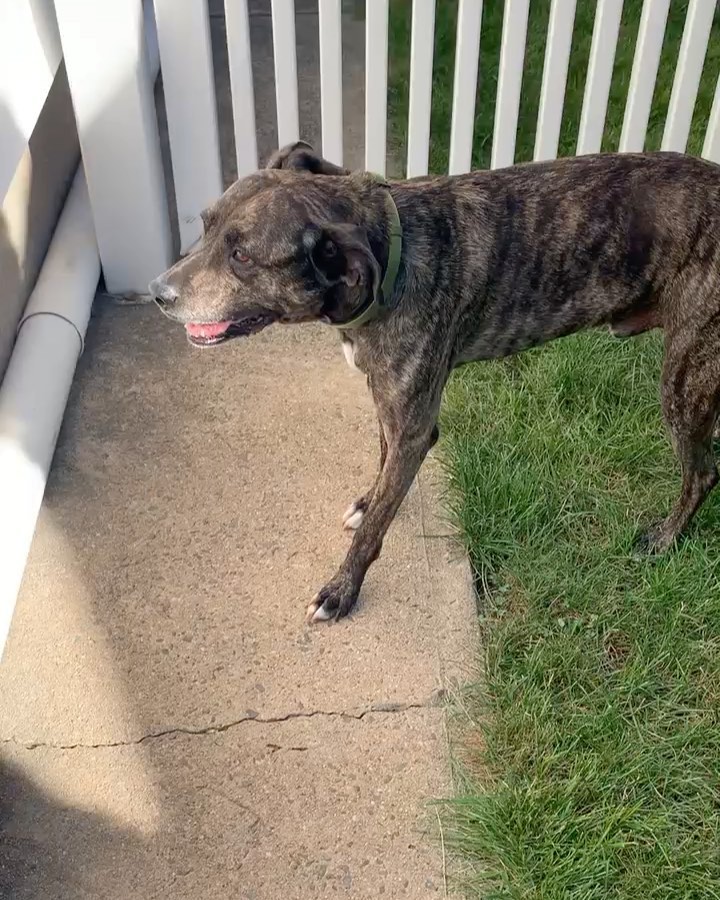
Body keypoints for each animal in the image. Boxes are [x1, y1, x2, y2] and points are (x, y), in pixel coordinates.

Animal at [149, 146, 720, 624]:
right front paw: (369, 501)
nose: (158, 292)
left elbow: (375, 527)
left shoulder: (415, 429)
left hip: (684, 382)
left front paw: (341, 590)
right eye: (205, 226)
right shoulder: (389, 407)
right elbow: (381, 471)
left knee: (702, 473)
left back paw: (664, 540)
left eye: (242, 256)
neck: (389, 258)